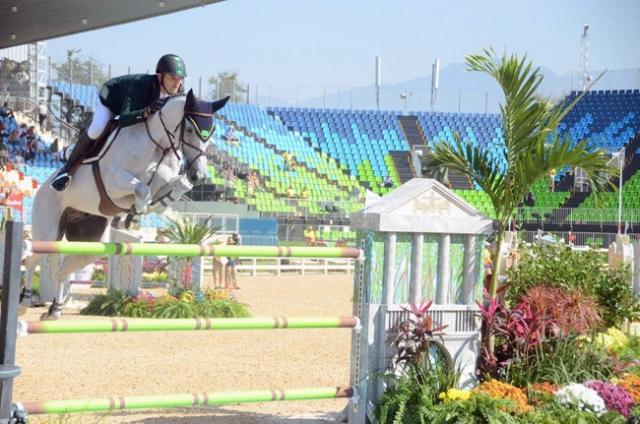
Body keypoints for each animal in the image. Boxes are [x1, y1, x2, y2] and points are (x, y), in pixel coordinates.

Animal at [20, 90, 230, 322]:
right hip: (48, 231)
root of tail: (41, 189)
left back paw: (55, 310)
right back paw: (24, 302)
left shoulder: (165, 179)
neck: (158, 144)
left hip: (90, 243)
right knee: (31, 260)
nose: (199, 176)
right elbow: (142, 189)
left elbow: (177, 186)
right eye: (191, 129)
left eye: (211, 132)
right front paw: (136, 213)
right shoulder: (113, 183)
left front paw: (154, 206)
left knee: (62, 270)